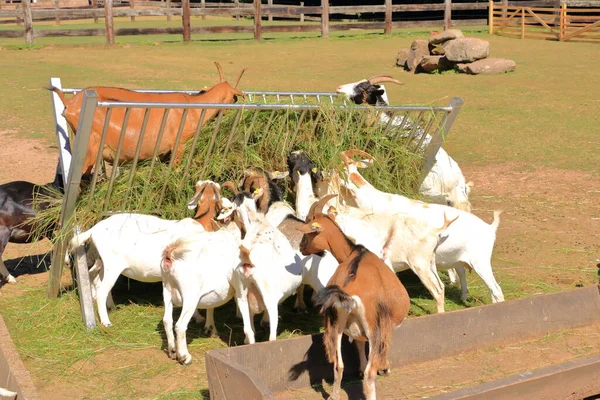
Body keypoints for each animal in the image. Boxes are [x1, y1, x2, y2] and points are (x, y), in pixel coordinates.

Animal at [296, 195, 410, 400]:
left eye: (309, 231)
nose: (301, 248)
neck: (354, 253)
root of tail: (348, 294)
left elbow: (357, 342)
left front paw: (360, 368)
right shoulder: (382, 325)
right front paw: (385, 367)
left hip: (335, 324)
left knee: (337, 365)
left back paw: (334, 396)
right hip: (371, 325)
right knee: (370, 374)